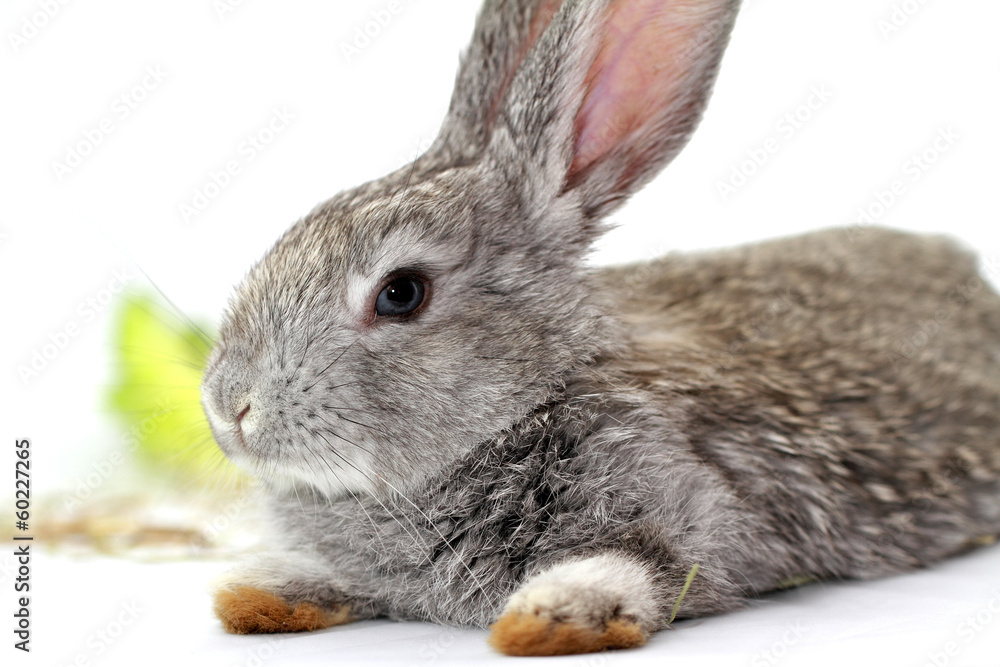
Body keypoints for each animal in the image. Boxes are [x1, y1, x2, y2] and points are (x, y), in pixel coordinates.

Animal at [202, 0, 1000, 656]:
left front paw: (546, 617)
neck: (527, 403)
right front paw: (255, 591)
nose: (229, 406)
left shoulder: (693, 523)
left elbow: (639, 570)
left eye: (401, 294)